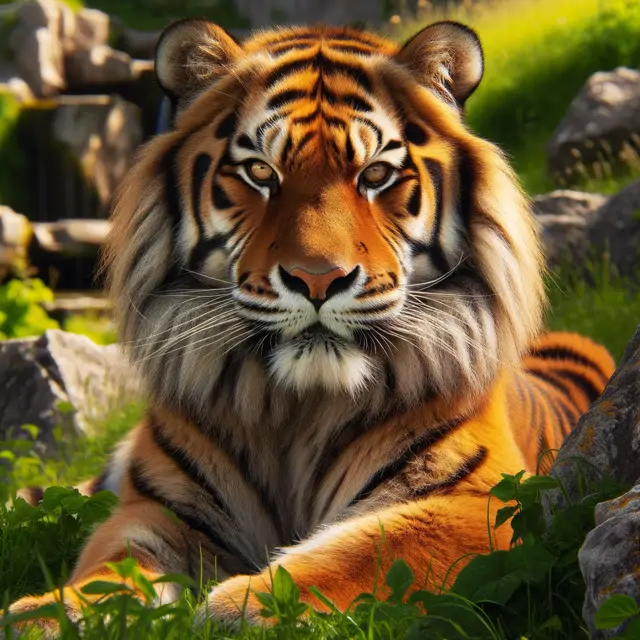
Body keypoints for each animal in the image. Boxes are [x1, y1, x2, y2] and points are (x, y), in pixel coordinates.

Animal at [5, 17, 615, 634]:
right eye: (259, 171)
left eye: (376, 174)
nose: (318, 279)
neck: (296, 408)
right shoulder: (155, 506)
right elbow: (109, 568)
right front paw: (44, 613)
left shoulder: (482, 502)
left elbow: (364, 551)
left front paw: (242, 606)